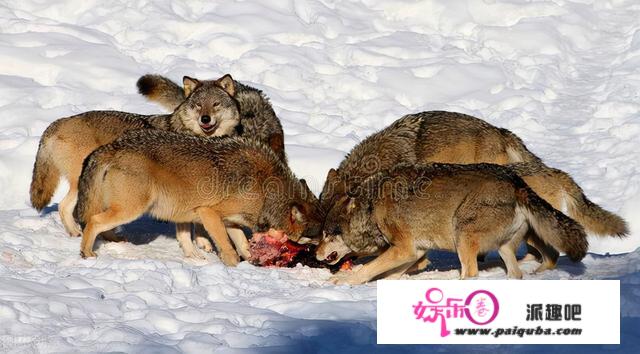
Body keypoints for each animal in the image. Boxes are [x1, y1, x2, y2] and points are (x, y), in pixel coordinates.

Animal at [30, 74, 240, 243]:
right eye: (198, 106)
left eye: (216, 104)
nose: (205, 119)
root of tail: (57, 123)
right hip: (85, 185)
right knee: (65, 207)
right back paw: (77, 233)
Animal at [74, 131, 324, 264]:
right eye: (315, 237)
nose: (322, 256)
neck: (266, 190)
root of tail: (112, 146)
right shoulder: (208, 212)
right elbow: (228, 248)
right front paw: (233, 266)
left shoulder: (231, 221)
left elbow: (243, 245)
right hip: (130, 210)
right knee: (93, 221)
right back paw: (86, 253)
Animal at [314, 164, 584, 284]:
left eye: (327, 233)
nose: (315, 253)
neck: (373, 207)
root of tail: (516, 181)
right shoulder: (415, 251)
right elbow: (389, 273)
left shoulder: (405, 250)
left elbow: (368, 268)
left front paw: (342, 281)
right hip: (505, 249)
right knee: (516, 272)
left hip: (461, 233)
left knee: (471, 272)